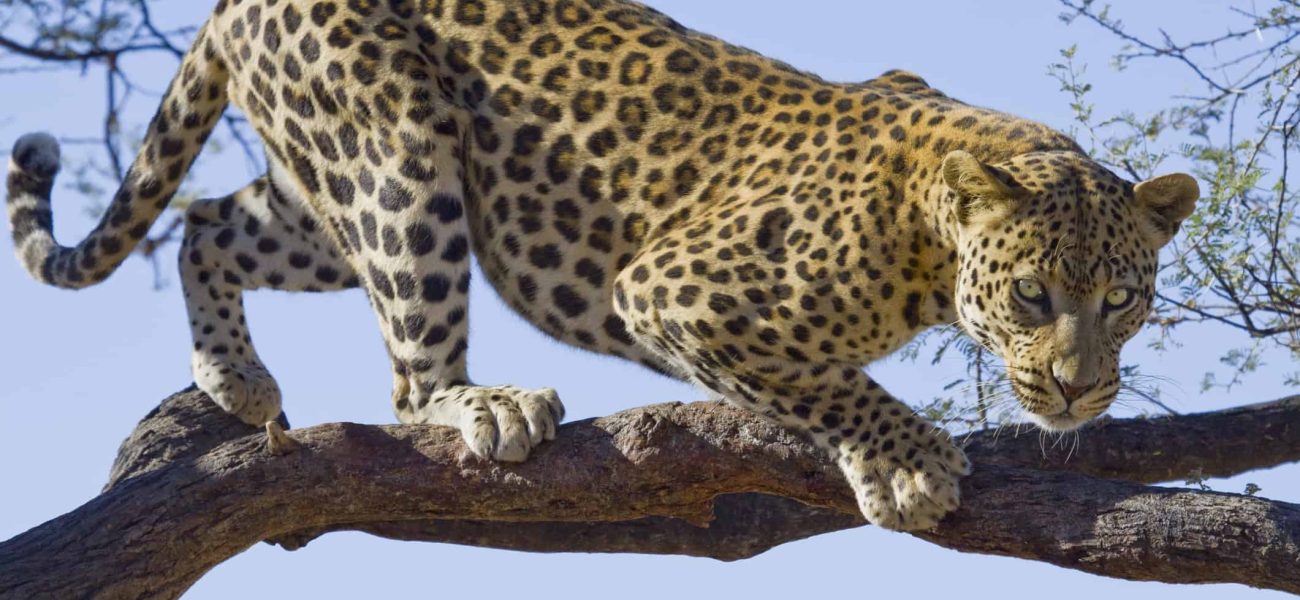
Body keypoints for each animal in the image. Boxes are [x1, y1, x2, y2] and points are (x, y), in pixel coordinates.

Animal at [5, 0, 1199, 531]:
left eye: (1123, 298)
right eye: (1032, 294)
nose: (1076, 390)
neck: (926, 240)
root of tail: (231, 1)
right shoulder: (675, 291)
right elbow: (829, 381)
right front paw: (904, 463)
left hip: (328, 191)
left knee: (207, 221)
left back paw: (236, 379)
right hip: (401, 154)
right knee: (409, 378)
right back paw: (485, 406)